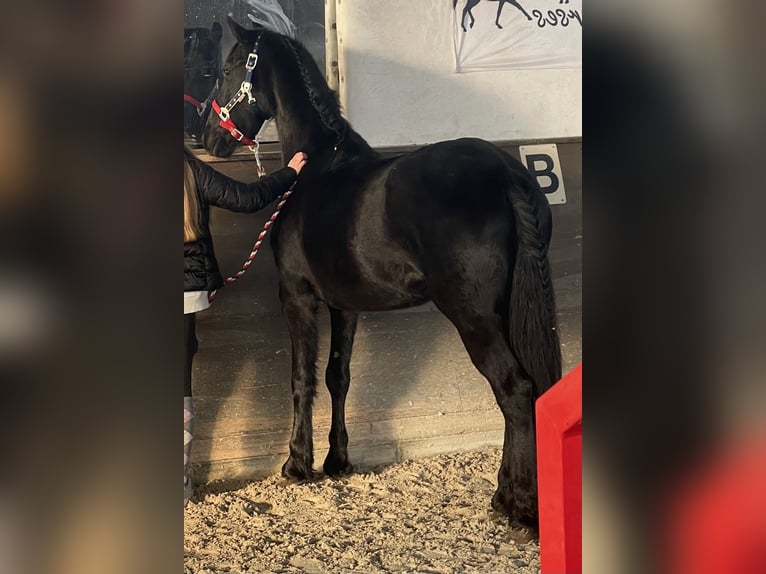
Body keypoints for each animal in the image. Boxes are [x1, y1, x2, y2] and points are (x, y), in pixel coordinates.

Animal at [203, 17, 561, 536]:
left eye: (229, 68)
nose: (210, 137)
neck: (317, 168)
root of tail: (504, 172)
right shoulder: (345, 305)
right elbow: (338, 375)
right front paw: (337, 461)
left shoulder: (297, 296)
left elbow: (300, 377)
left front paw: (296, 464)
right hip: (509, 308)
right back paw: (506, 498)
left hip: (474, 316)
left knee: (514, 390)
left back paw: (519, 509)